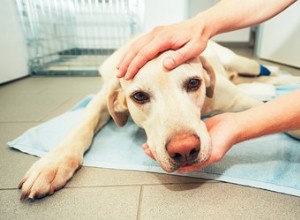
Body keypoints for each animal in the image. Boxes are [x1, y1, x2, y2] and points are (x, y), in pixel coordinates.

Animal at [18, 40, 300, 201]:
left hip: (241, 62)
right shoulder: (102, 97)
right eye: (139, 96)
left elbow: (270, 110)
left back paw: (281, 77)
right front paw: (52, 164)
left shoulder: (238, 100)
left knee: (264, 72)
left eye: (194, 82)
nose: (184, 149)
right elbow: (83, 123)